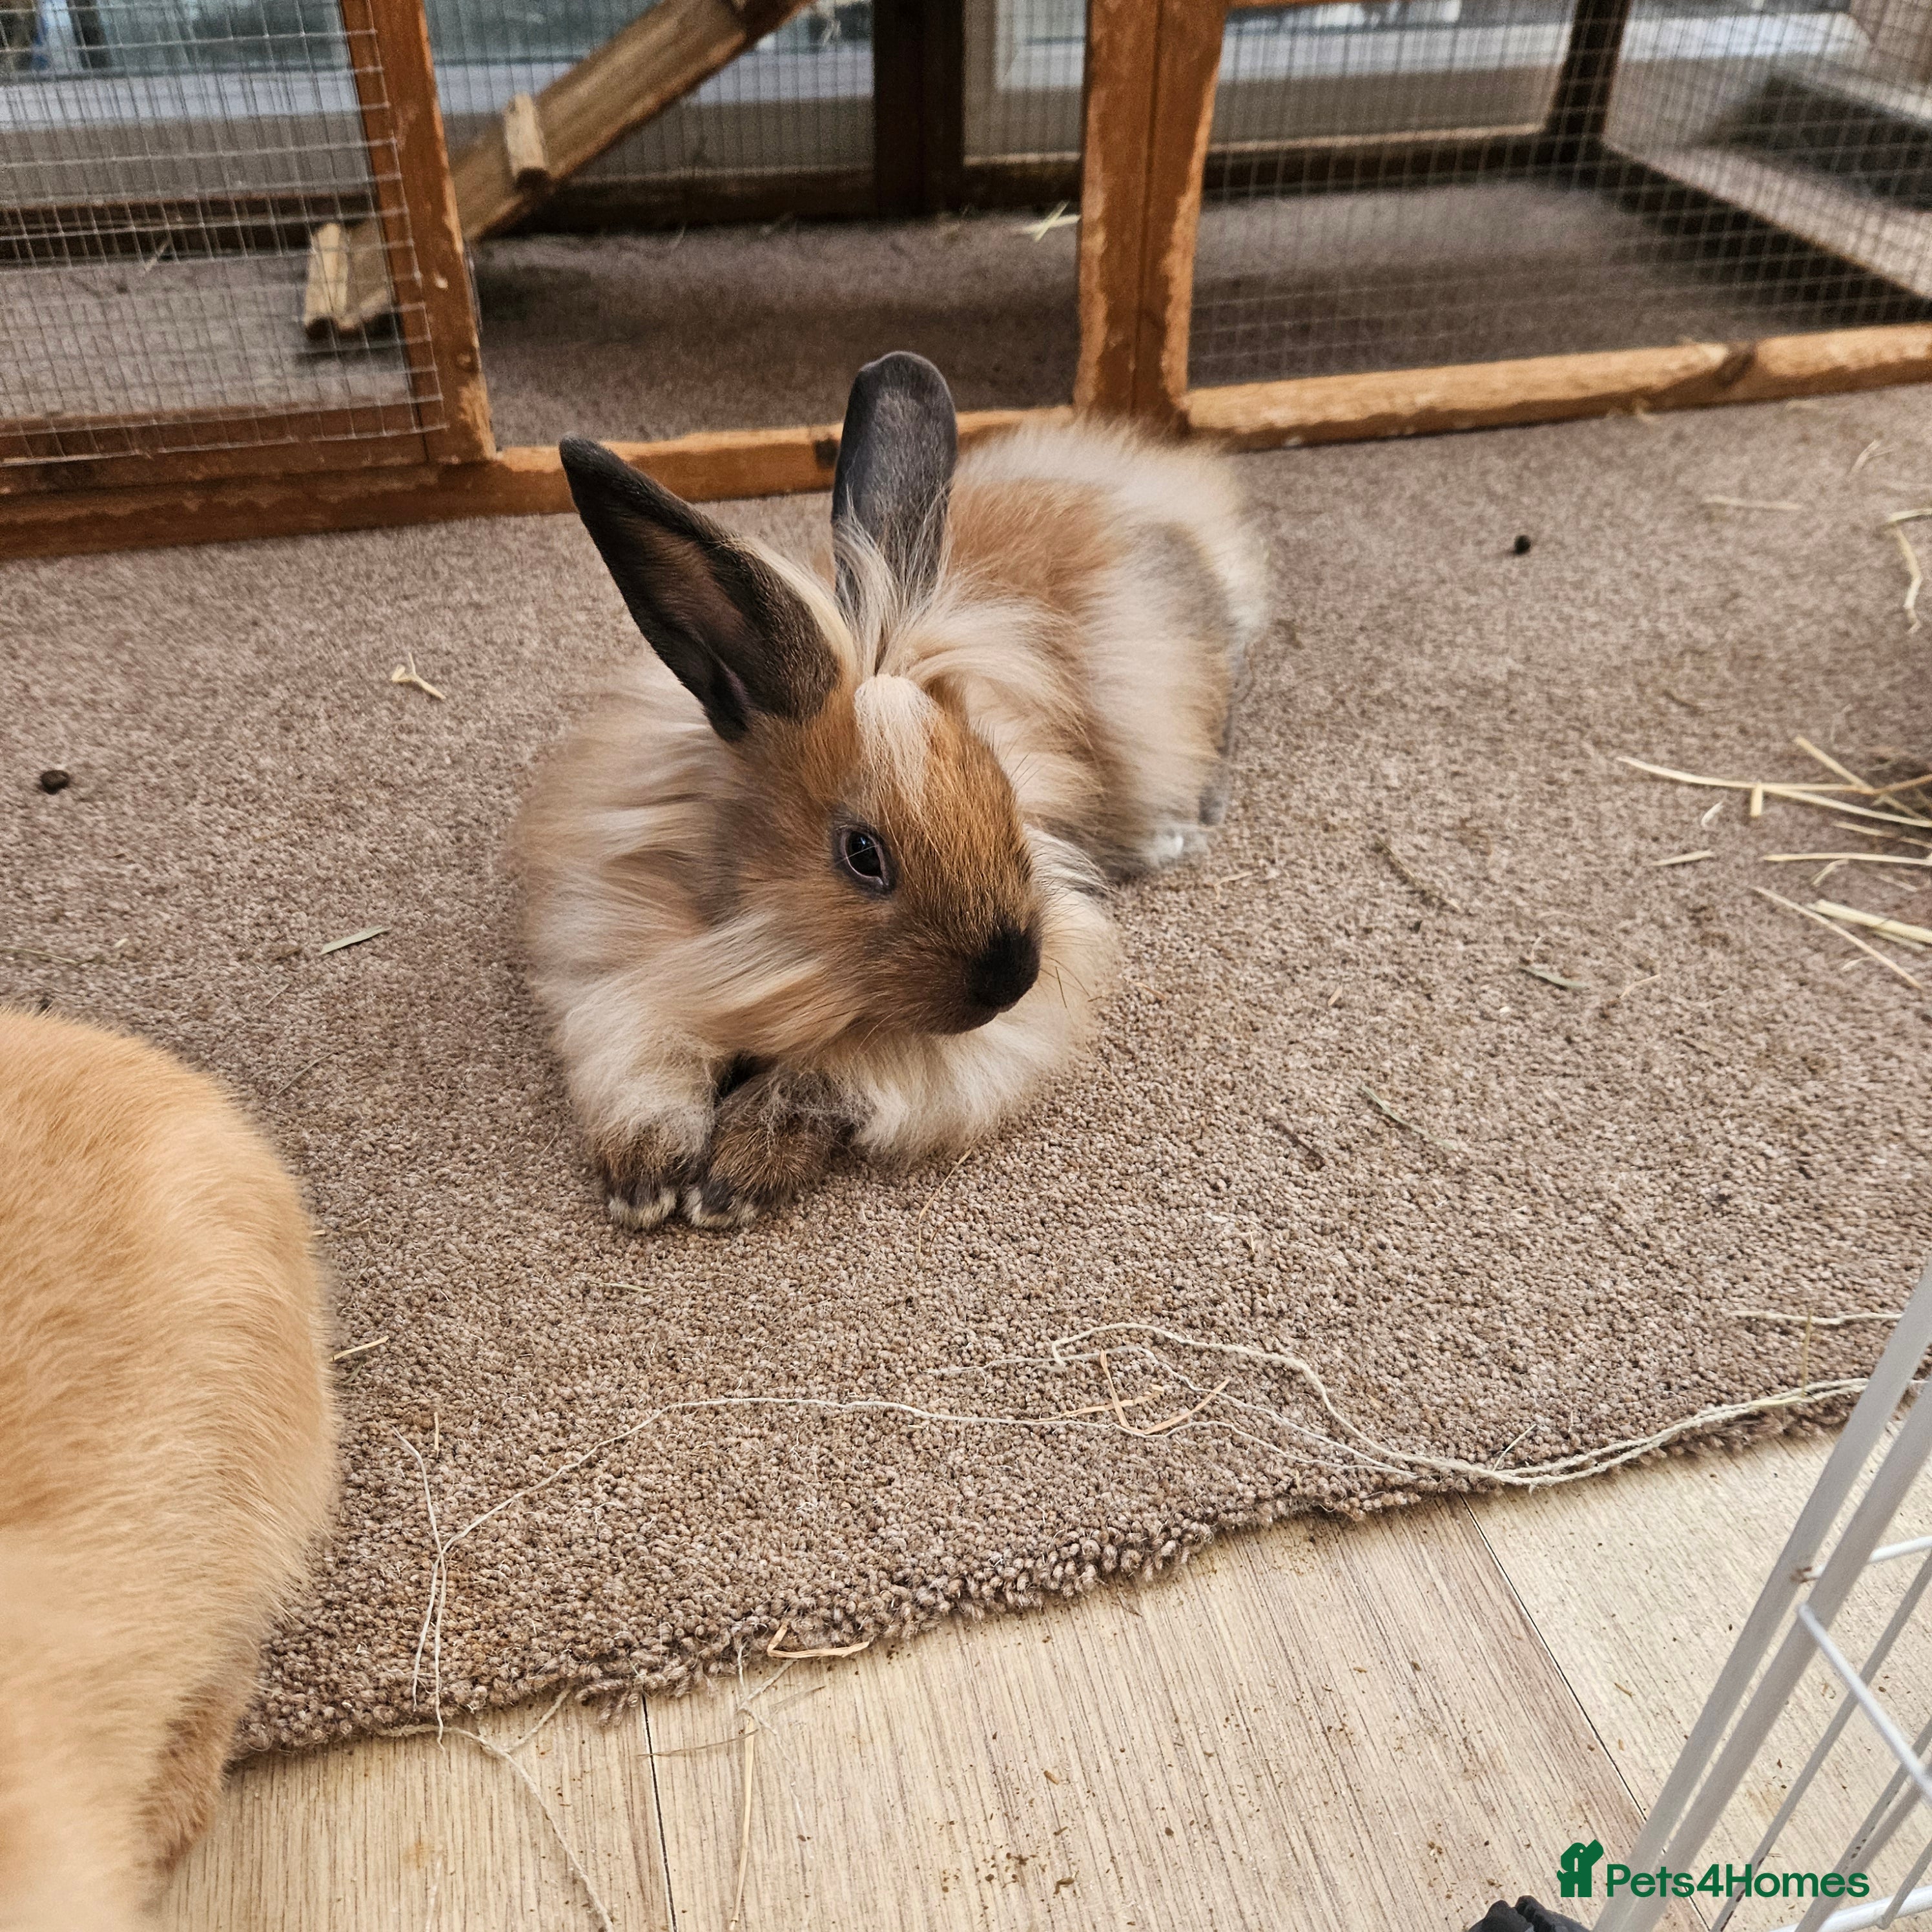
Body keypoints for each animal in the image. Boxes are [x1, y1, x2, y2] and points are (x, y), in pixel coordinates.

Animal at [517, 351, 1265, 1231]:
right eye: (861, 855)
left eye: (1006, 796)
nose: (1012, 979)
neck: (766, 950)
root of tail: (1160, 507)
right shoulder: (615, 966)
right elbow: (645, 1067)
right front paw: (643, 1181)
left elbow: (823, 1081)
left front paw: (730, 1181)